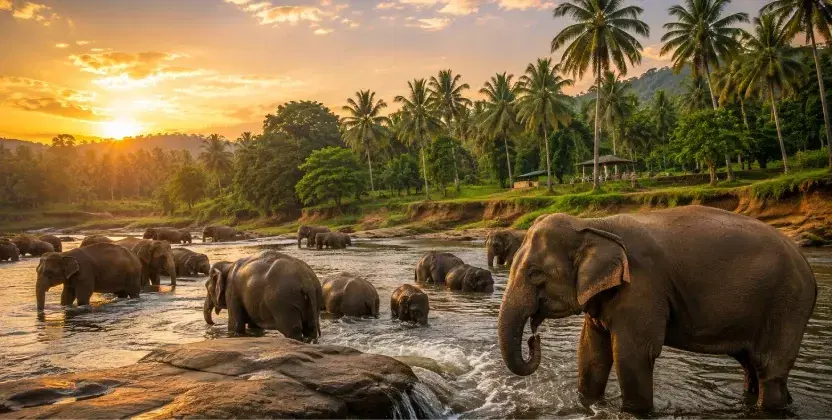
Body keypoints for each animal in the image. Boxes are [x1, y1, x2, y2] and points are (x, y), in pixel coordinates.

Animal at [497, 206, 817, 413]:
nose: (534, 338)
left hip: (787, 305)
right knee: (752, 366)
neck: (594, 224)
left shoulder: (642, 286)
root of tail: (808, 268)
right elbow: (591, 352)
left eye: (535, 274)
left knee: (769, 368)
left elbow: (631, 354)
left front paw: (634, 411)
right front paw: (588, 404)